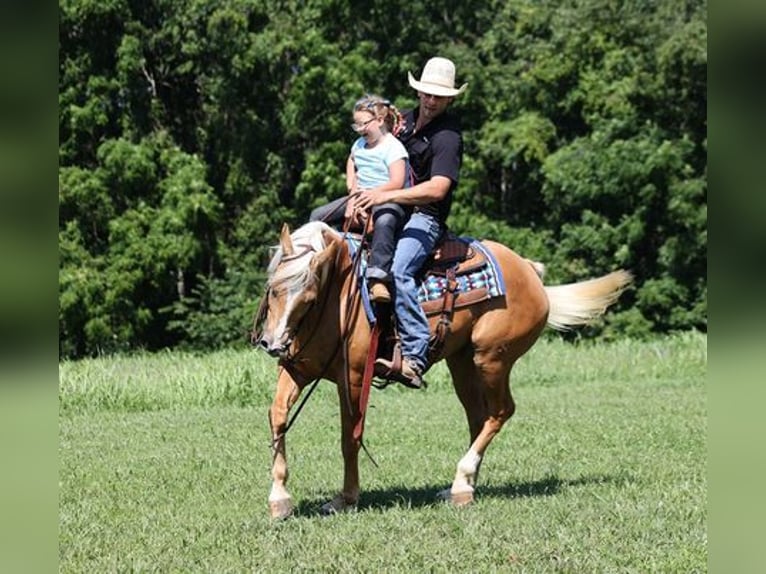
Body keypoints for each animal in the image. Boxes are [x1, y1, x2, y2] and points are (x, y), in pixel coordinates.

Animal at [255, 223, 632, 520]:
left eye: (309, 299)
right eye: (273, 289)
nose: (273, 344)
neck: (340, 293)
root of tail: (528, 270)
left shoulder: (354, 377)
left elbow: (350, 437)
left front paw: (345, 499)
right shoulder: (296, 369)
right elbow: (277, 417)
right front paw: (280, 499)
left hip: (492, 358)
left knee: (500, 412)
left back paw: (461, 483)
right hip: (462, 363)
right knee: (479, 416)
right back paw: (462, 486)